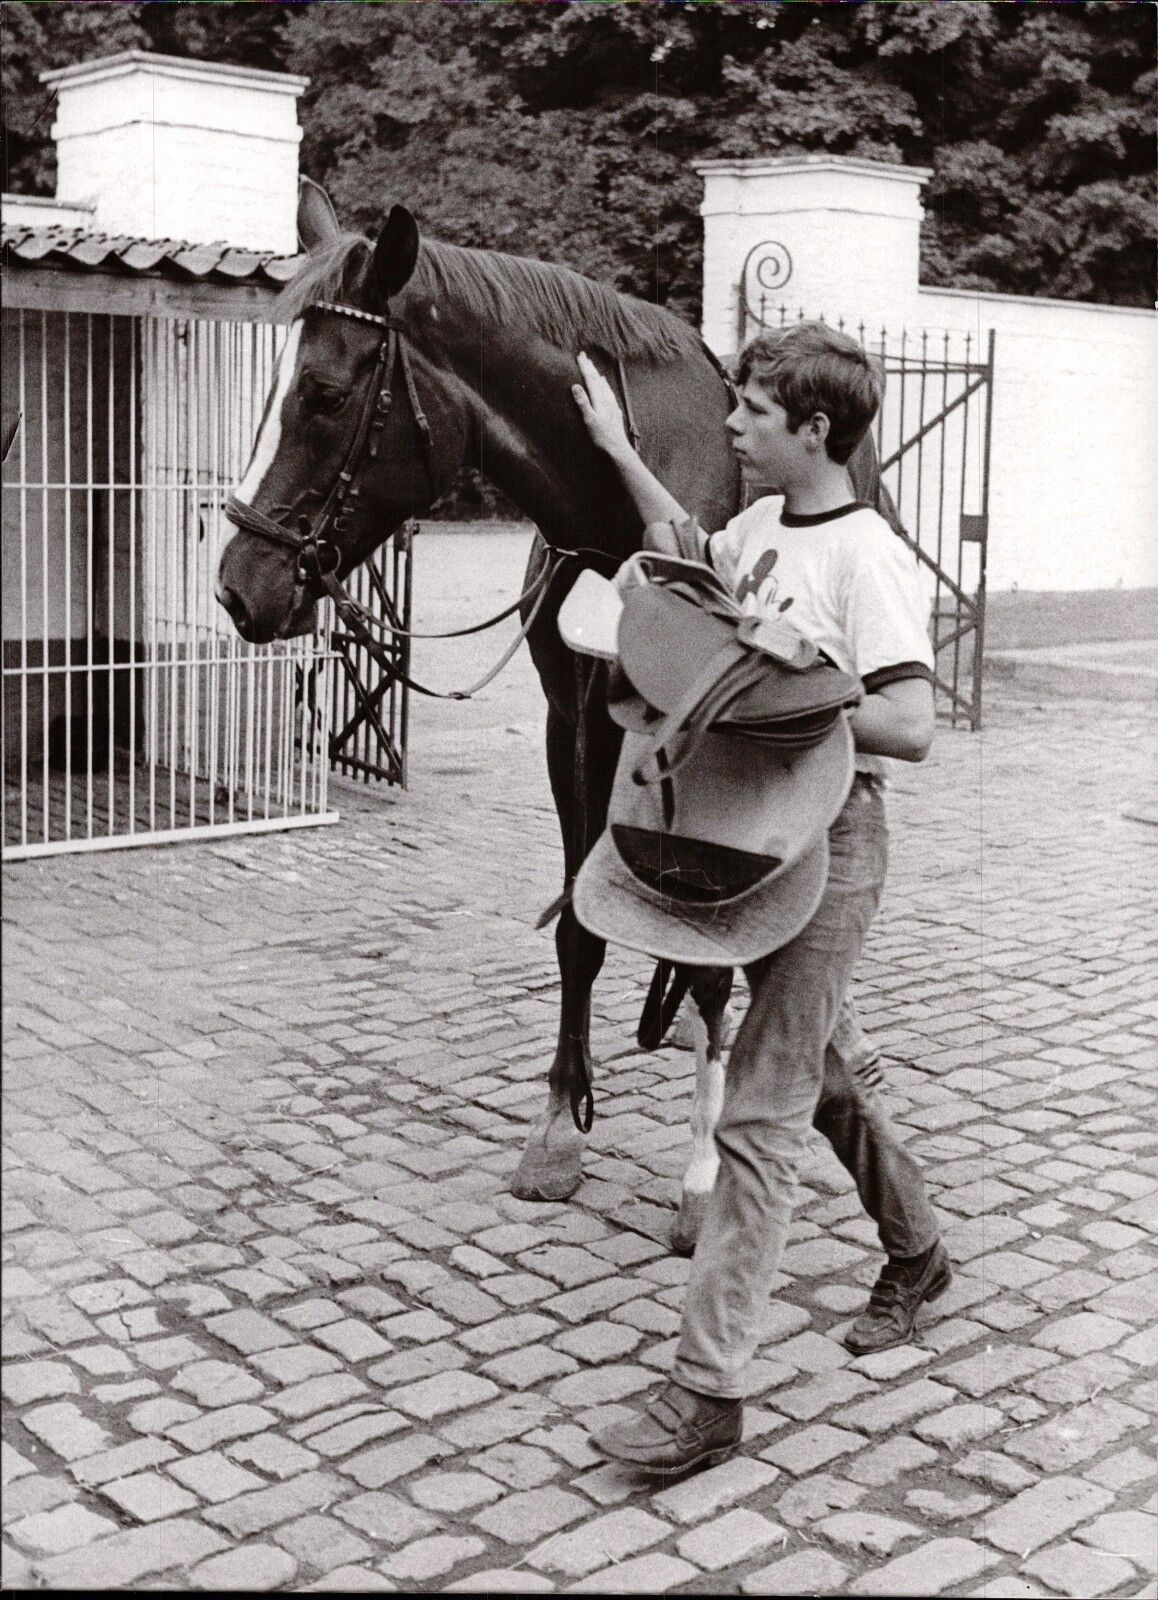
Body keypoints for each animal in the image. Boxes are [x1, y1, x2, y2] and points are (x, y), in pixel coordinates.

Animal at [214, 196, 889, 1248]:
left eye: (323, 396)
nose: (239, 588)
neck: (621, 512)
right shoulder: (571, 724)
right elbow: (578, 923)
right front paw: (558, 1129)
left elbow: (712, 957)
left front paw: (701, 1174)